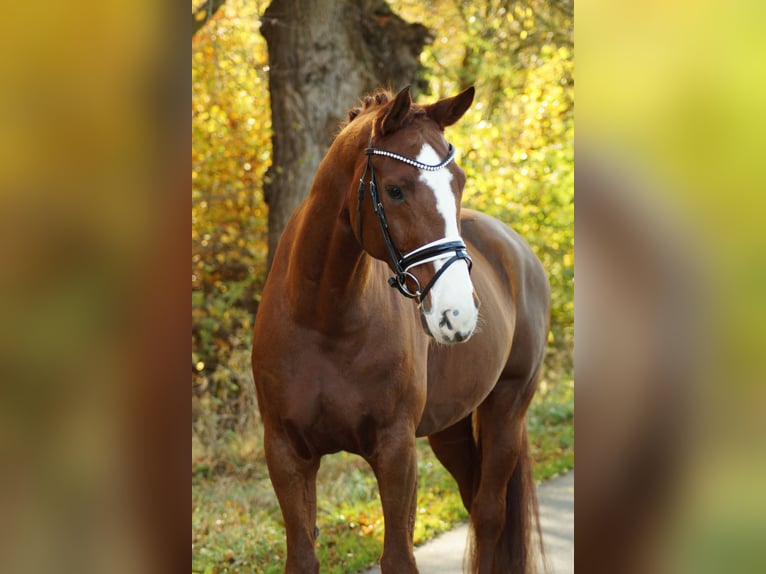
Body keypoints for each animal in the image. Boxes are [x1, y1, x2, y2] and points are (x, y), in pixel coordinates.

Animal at [252, 85, 552, 574]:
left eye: (458, 182)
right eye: (394, 190)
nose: (457, 313)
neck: (322, 320)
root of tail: (516, 247)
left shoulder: (395, 452)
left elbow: (397, 556)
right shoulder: (286, 453)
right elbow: (302, 557)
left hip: (507, 408)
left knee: (489, 513)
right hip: (450, 427)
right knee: (475, 500)